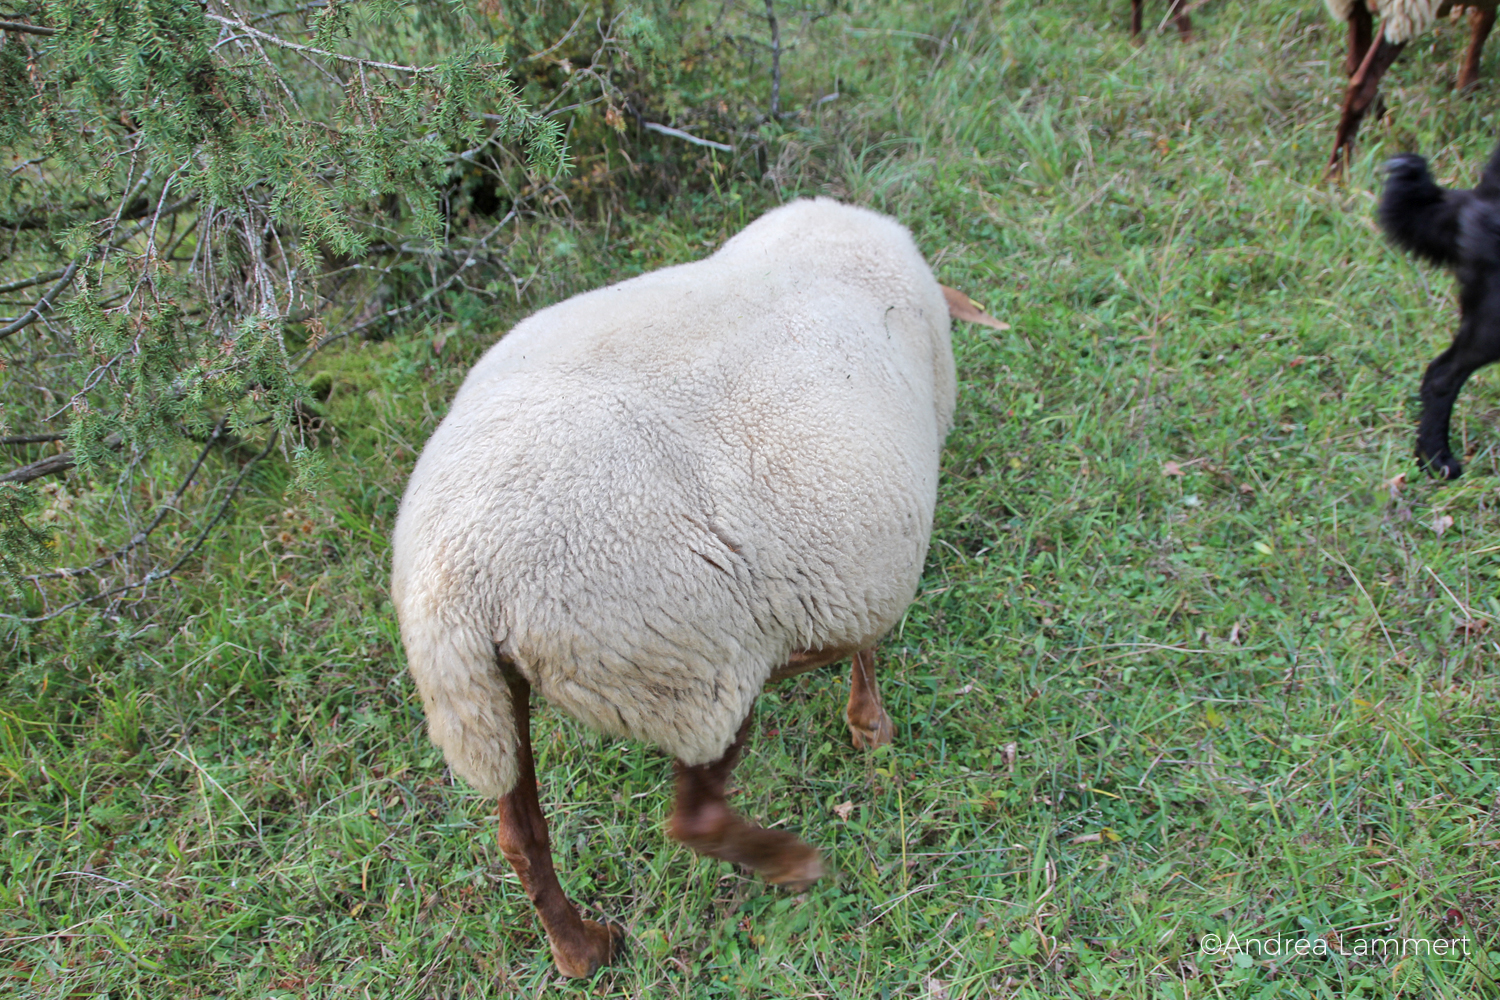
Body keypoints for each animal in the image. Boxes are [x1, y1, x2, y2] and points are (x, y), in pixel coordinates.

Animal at [390, 199, 960, 983]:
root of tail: (459, 585)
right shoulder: (853, 573)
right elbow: (866, 644)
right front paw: (870, 725)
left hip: (500, 693)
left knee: (519, 832)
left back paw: (582, 950)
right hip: (695, 666)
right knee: (694, 816)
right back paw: (790, 864)